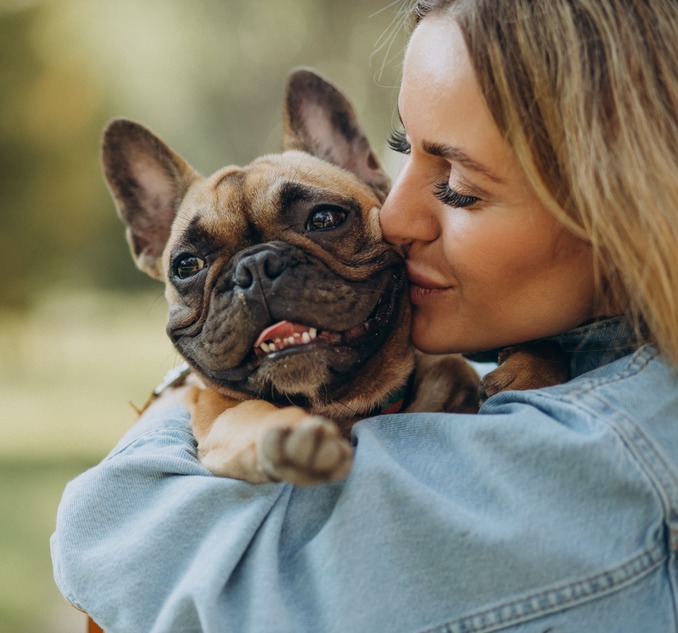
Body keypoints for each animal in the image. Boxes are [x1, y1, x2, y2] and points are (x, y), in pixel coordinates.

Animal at [101, 68, 568, 484]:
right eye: (187, 265)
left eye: (324, 219)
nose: (255, 266)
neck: (339, 409)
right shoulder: (216, 414)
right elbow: (246, 412)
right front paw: (287, 433)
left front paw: (532, 371)